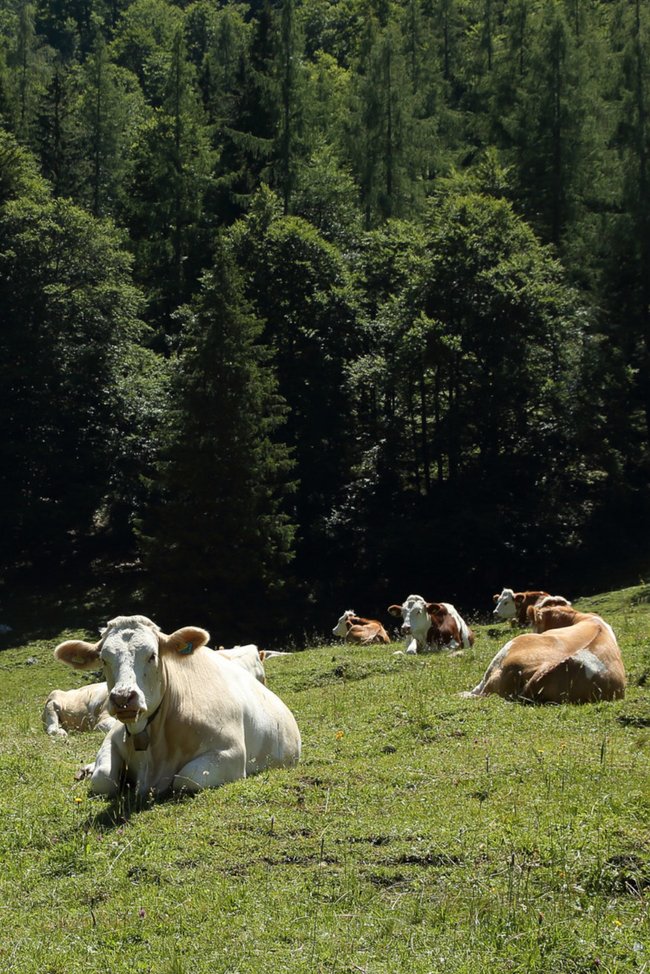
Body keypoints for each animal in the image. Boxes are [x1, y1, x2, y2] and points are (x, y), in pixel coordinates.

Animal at [53, 615, 301, 798]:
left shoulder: (232, 753)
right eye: (104, 659)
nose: (123, 697)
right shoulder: (112, 737)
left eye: (152, 655)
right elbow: (103, 778)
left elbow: (185, 778)